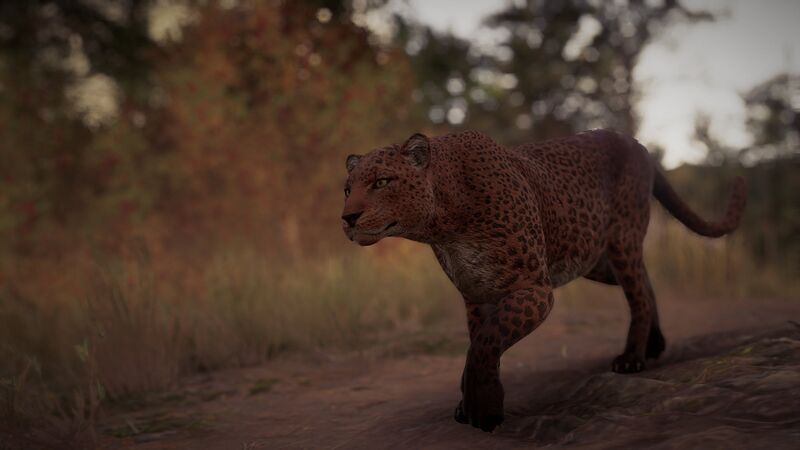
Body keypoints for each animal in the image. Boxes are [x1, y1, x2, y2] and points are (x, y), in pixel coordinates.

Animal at [340, 129, 745, 433]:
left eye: (381, 182)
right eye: (348, 188)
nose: (348, 217)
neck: (444, 225)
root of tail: (635, 141)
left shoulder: (534, 289)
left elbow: (485, 344)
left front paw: (483, 410)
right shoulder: (477, 295)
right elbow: (479, 345)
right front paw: (471, 404)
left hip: (621, 240)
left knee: (639, 292)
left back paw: (632, 358)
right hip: (594, 259)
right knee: (645, 284)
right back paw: (655, 344)